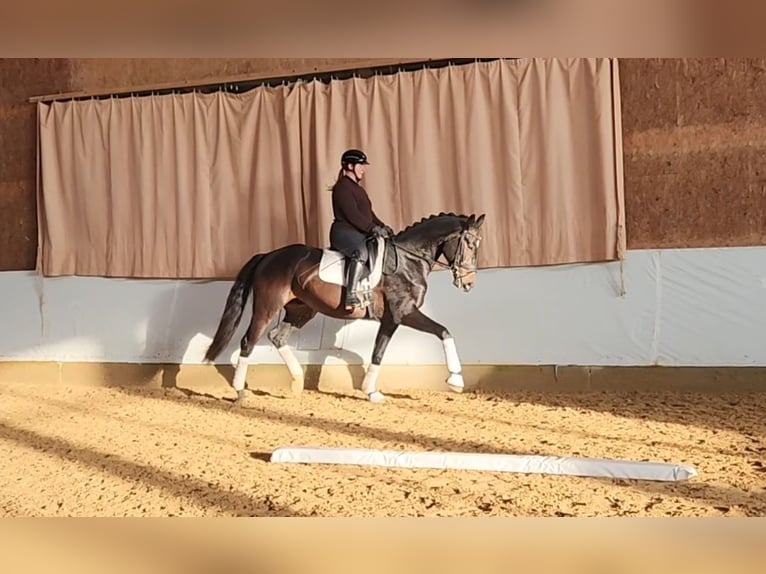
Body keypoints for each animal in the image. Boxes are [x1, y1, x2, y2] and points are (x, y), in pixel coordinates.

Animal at [203, 211, 486, 404]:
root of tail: (268, 256)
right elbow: (442, 332)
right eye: (470, 244)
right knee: (248, 342)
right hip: (267, 307)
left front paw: (371, 391)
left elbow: (376, 352)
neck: (408, 260)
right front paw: (456, 380)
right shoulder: (403, 313)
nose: (469, 283)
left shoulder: (390, 318)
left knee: (277, 337)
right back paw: (240, 392)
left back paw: (296, 384)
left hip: (301, 310)